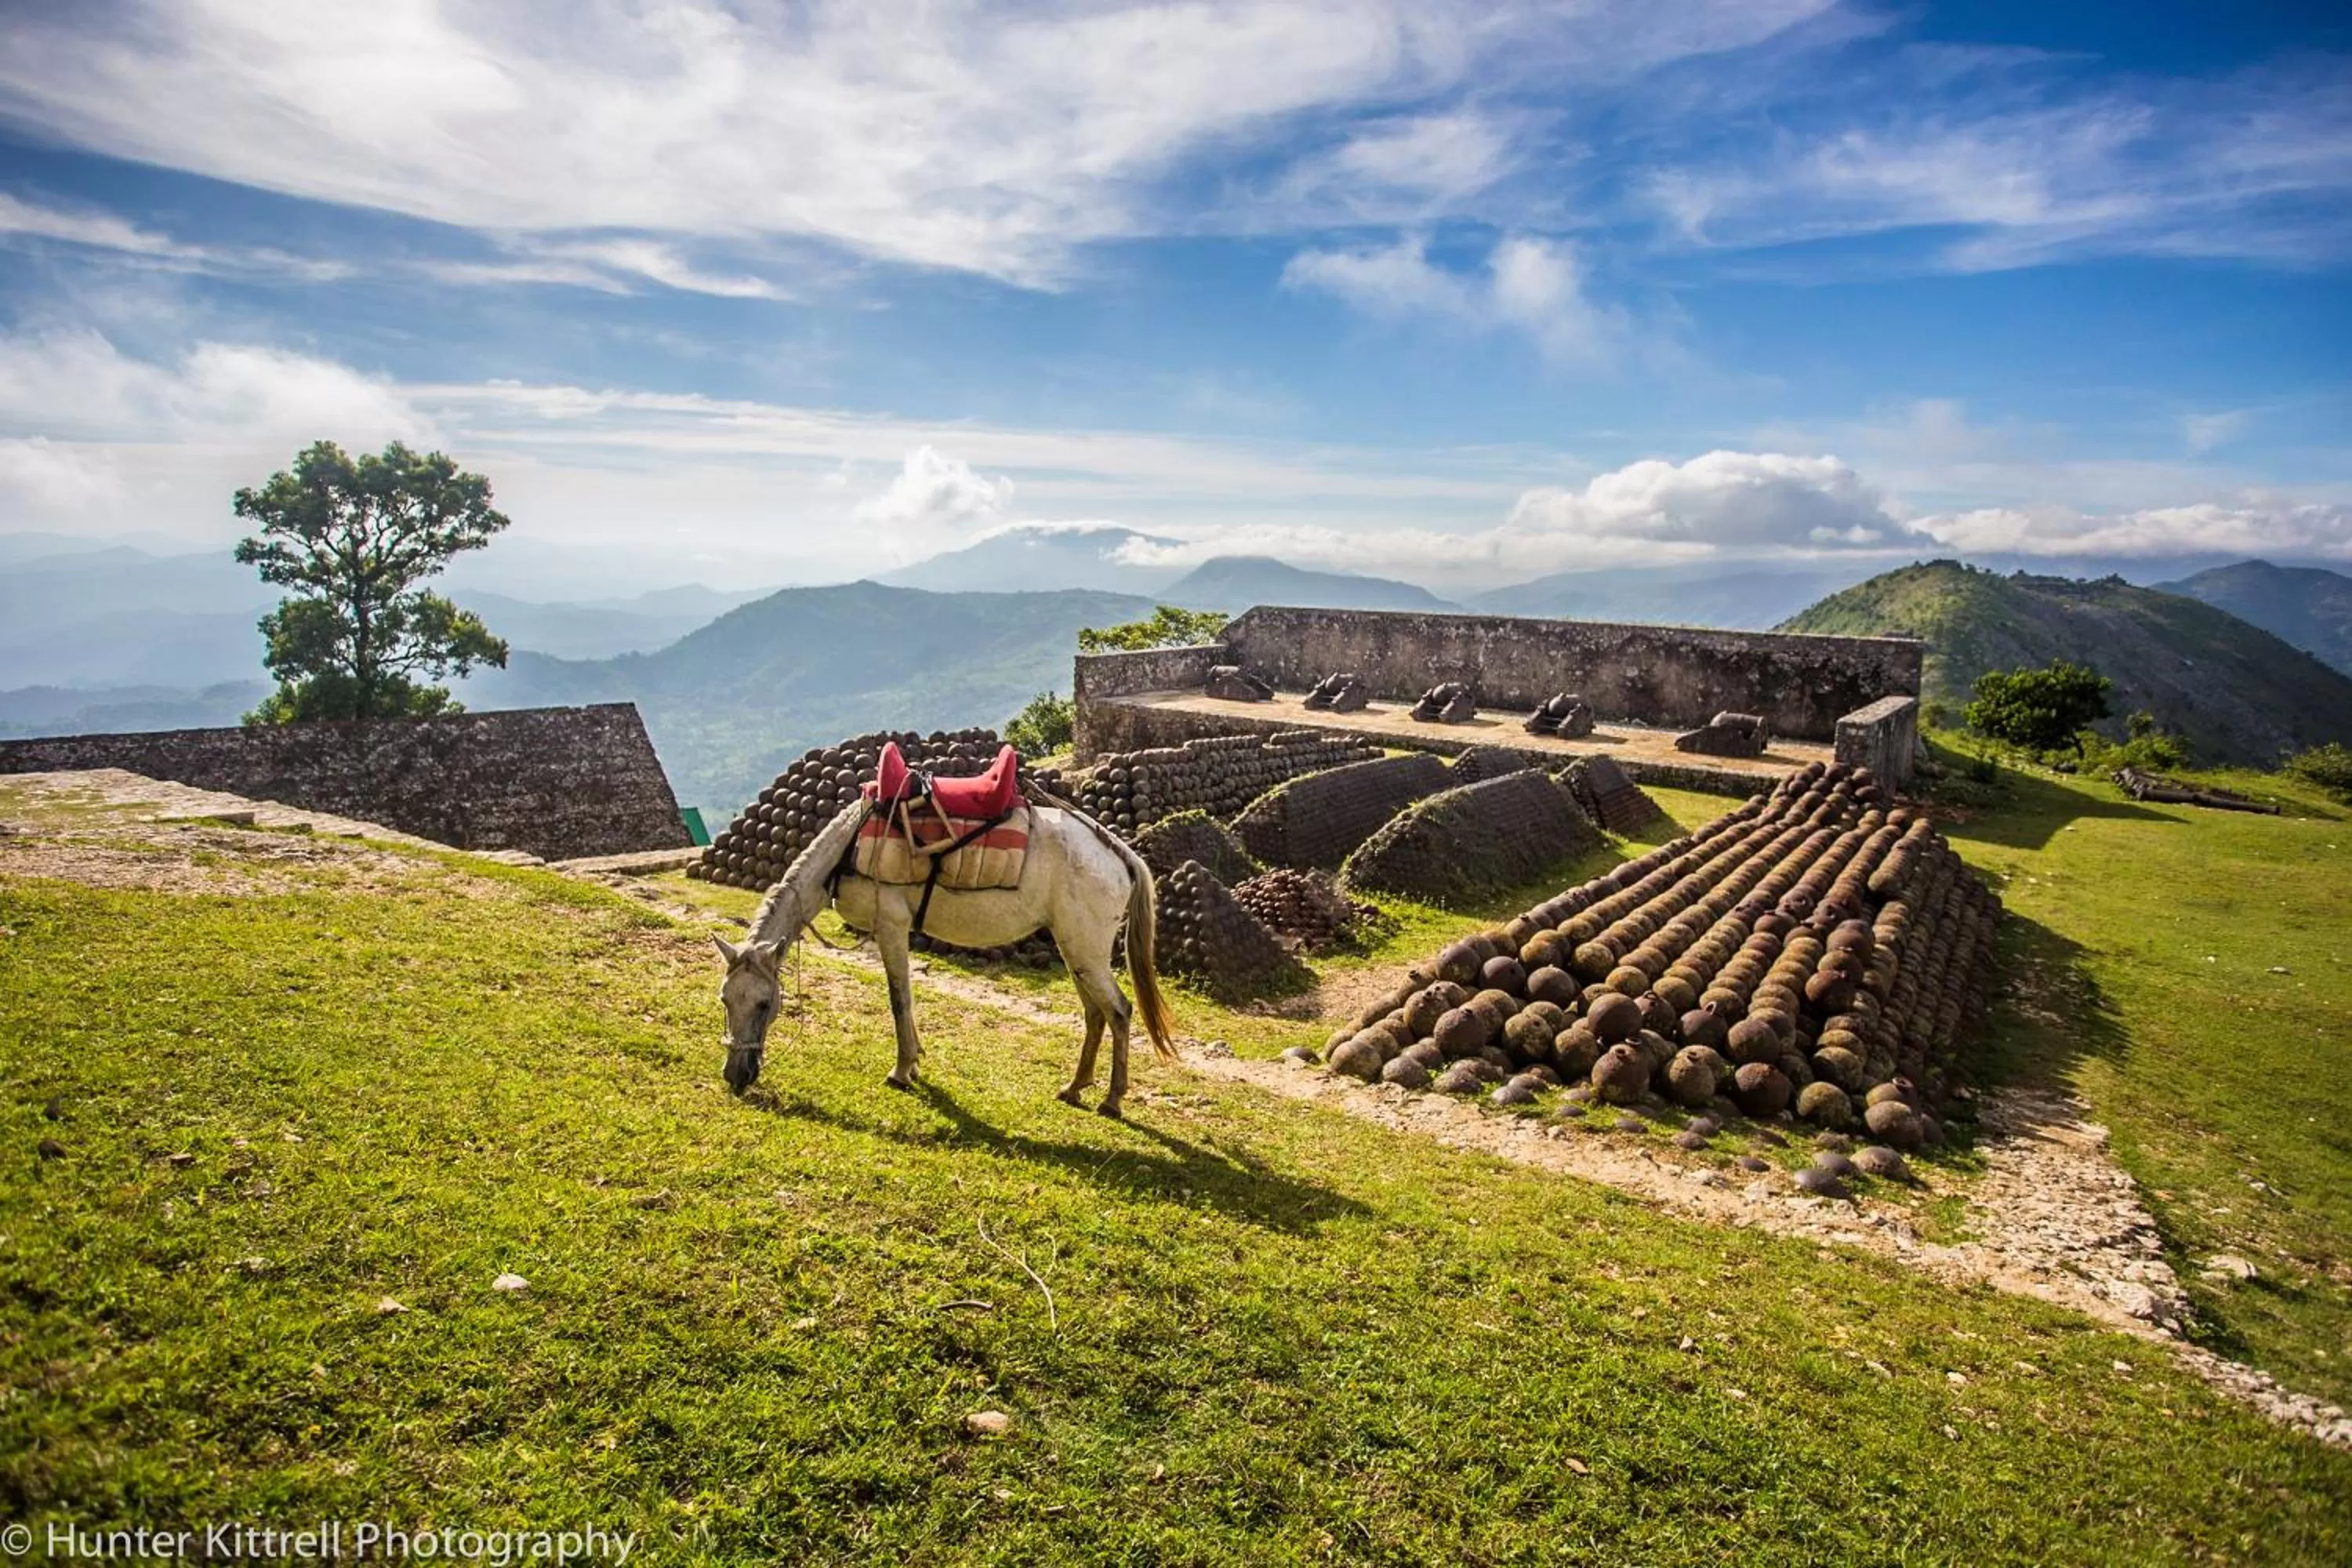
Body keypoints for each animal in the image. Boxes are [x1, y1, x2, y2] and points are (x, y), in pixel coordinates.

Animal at [712, 796, 1178, 1116]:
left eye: (765, 1003)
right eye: (725, 999)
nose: (736, 1075)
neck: (849, 846)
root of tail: (1118, 853)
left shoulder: (891, 926)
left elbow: (899, 998)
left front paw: (902, 1071)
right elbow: (906, 997)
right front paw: (916, 1062)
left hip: (1086, 950)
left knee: (1119, 1011)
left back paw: (1112, 1101)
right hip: (1074, 948)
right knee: (1095, 1013)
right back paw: (1075, 1087)